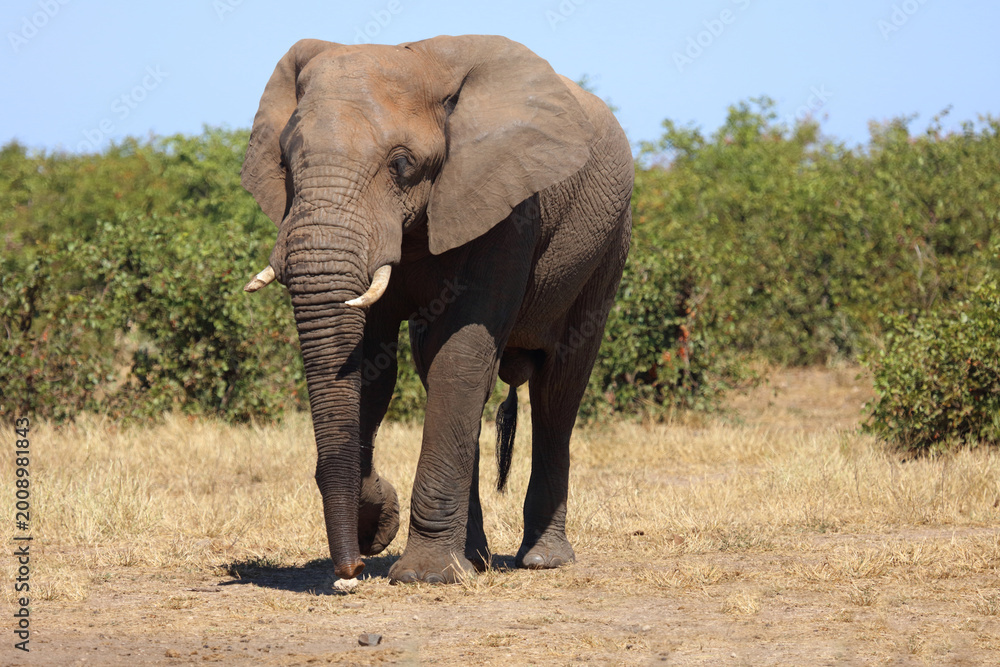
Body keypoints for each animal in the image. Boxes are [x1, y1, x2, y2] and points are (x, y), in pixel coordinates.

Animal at [240, 34, 633, 584]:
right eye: (285, 162)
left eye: (402, 165)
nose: (349, 569)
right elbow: (374, 366)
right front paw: (377, 524)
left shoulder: (508, 206)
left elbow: (461, 355)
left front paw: (424, 575)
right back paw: (476, 560)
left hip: (608, 246)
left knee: (559, 389)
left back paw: (542, 560)